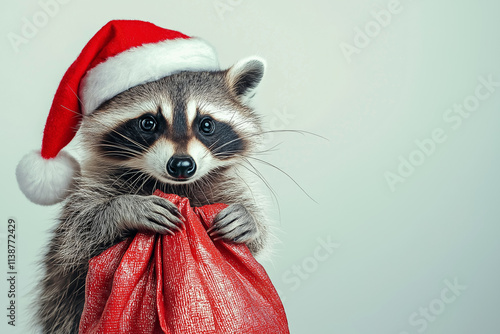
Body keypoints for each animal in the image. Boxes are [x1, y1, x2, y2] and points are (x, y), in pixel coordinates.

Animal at [36, 57, 270, 332]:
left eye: (206, 124)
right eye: (148, 123)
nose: (182, 165)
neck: (174, 186)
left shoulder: (224, 186)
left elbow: (253, 241)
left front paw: (248, 219)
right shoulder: (91, 188)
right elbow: (77, 236)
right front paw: (126, 209)